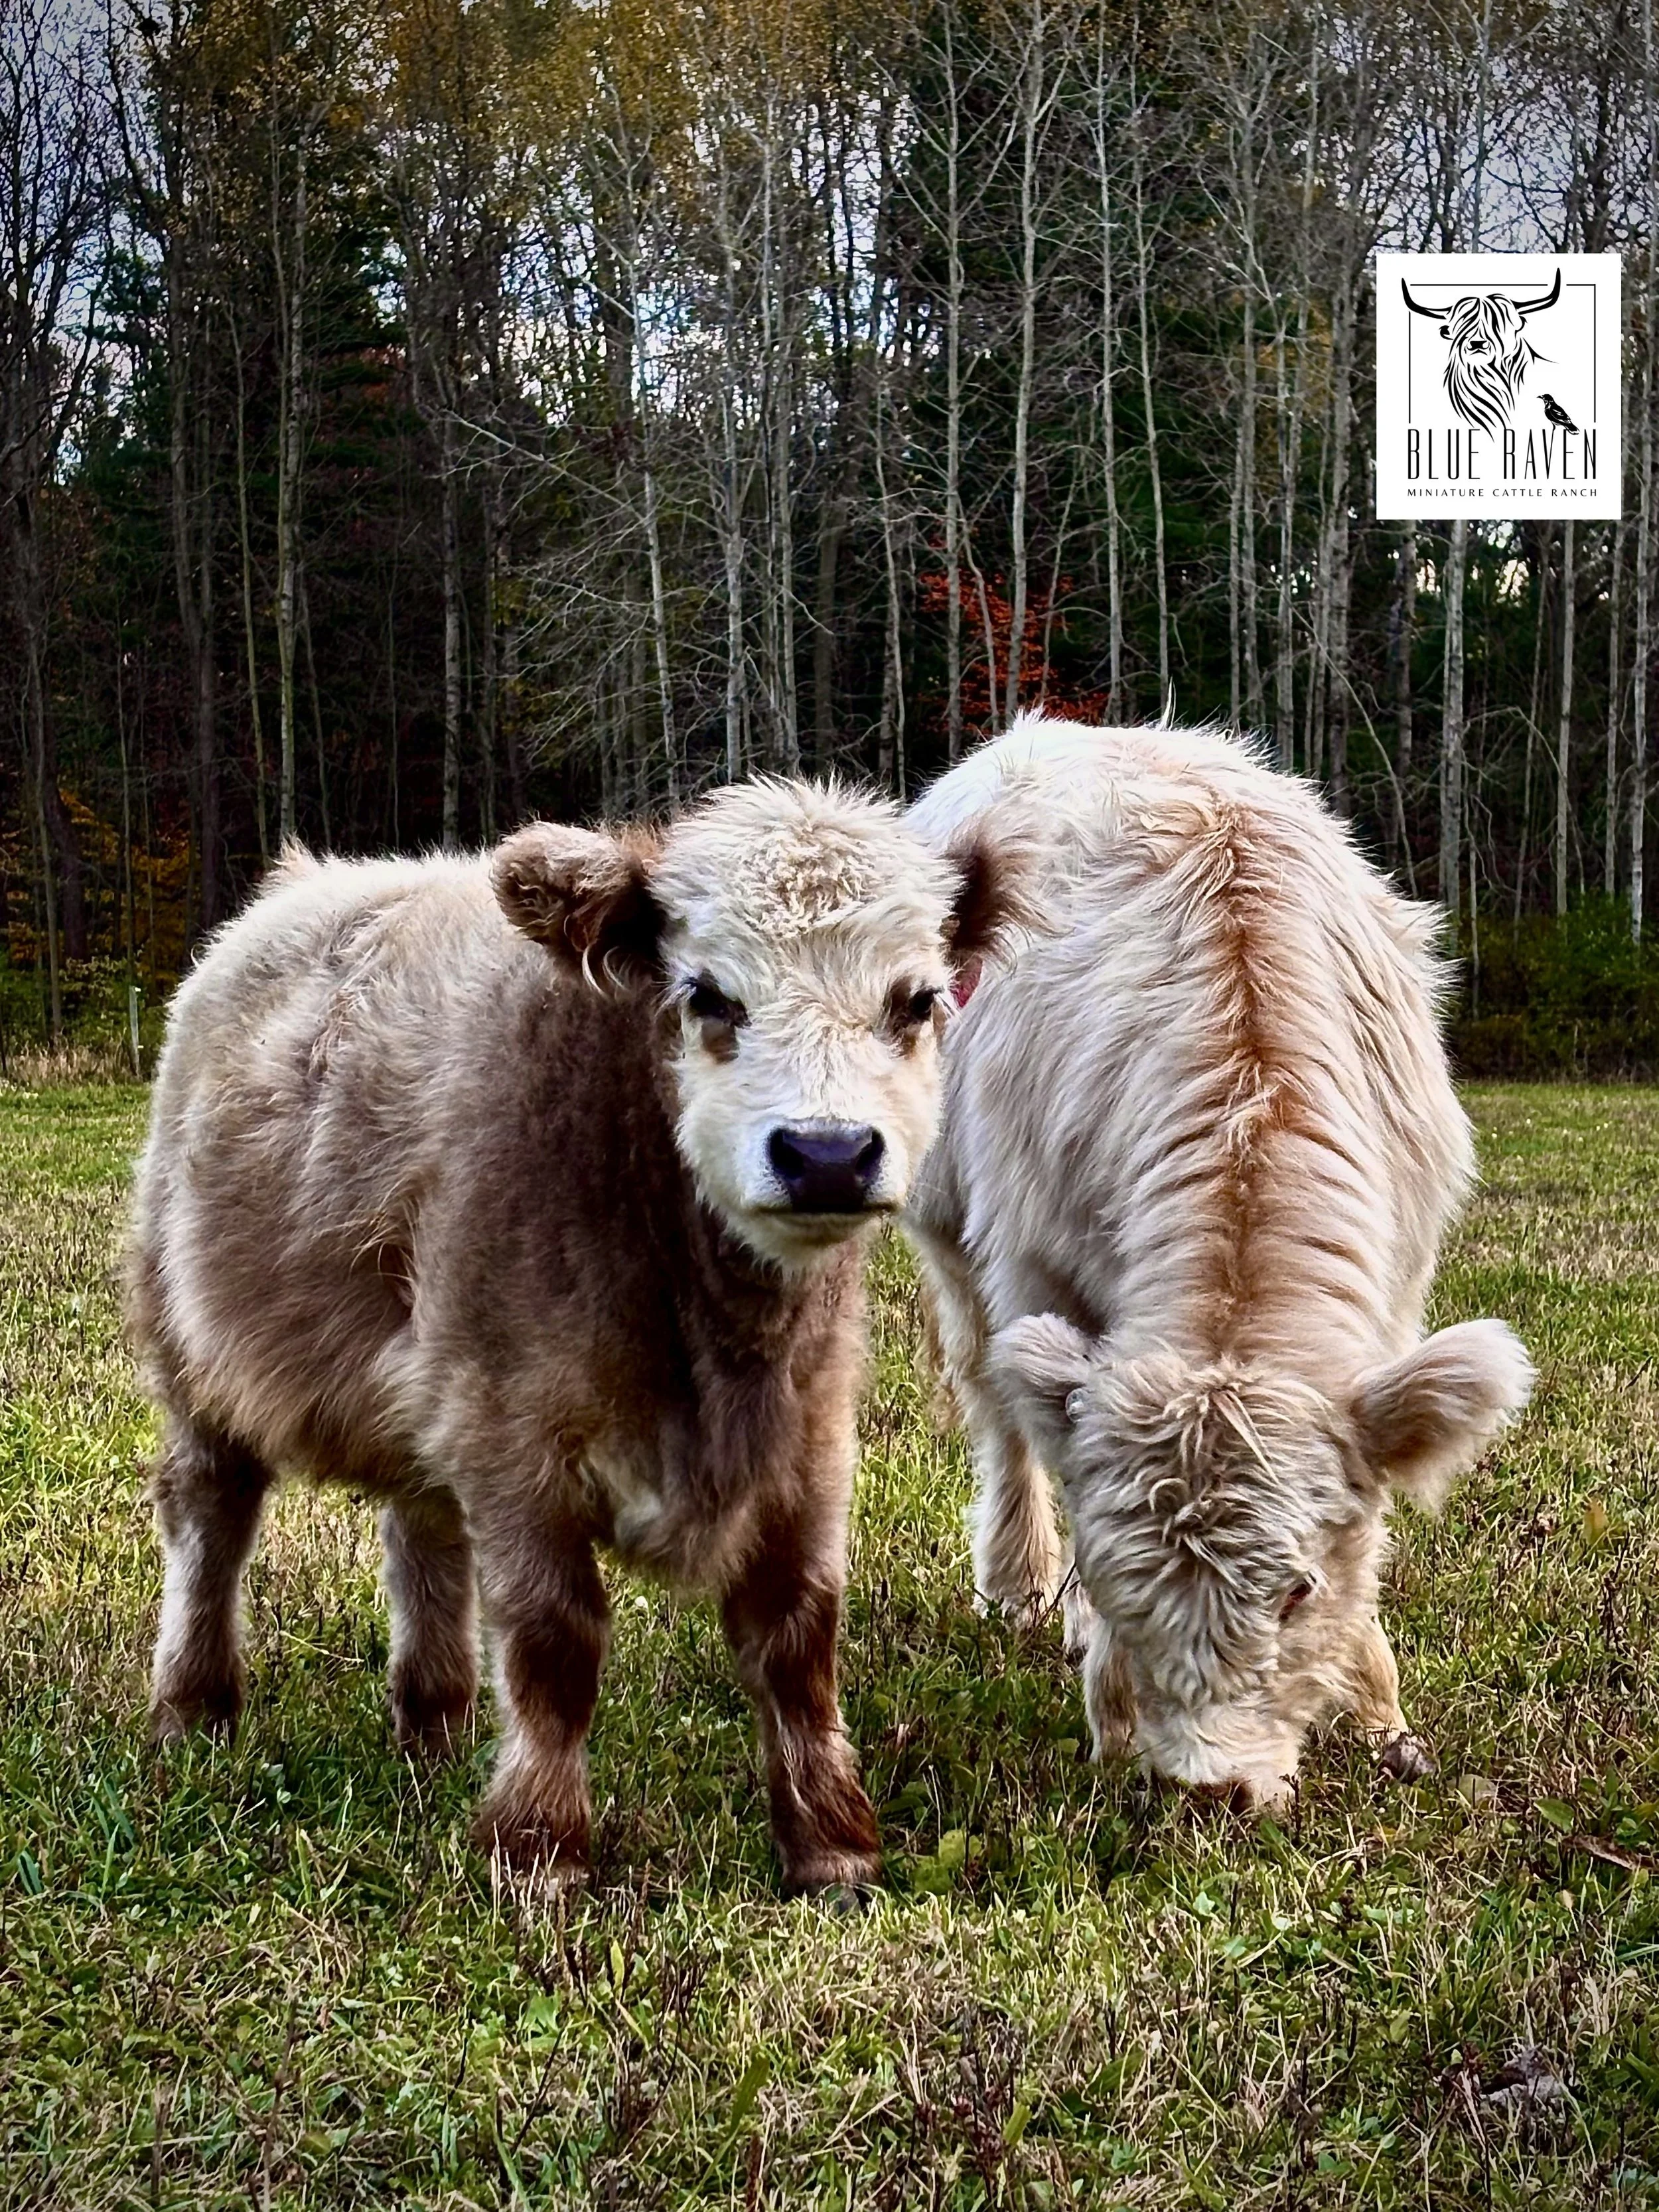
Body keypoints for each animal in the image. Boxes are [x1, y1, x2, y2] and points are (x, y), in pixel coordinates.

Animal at [128, 779, 1026, 1895]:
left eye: (917, 999)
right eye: (707, 995)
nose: (826, 1155)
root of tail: (305, 881)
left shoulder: (811, 1439)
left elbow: (799, 1632)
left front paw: (831, 1844)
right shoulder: (514, 1434)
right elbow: (555, 1638)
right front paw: (540, 1850)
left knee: (422, 1531)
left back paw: (433, 1723)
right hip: (193, 1347)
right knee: (210, 1513)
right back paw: (196, 1707)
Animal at [905, 715, 1534, 1810]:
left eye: (1298, 1589)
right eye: (1126, 1585)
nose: (1212, 1789)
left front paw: (1381, 1715)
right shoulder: (1033, 1261)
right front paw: (1093, 1659)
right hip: (947, 1225)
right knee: (996, 1405)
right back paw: (1019, 1583)